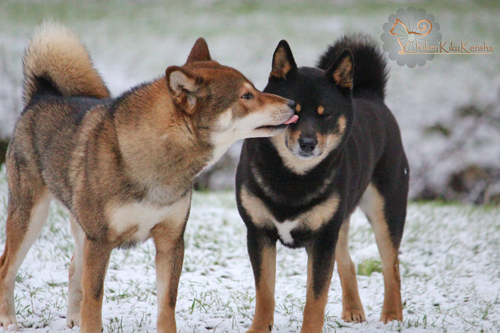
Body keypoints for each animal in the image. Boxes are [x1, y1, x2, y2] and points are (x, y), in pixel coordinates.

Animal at [0, 22, 296, 330]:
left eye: (255, 89)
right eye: (246, 96)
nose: (293, 103)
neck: (156, 162)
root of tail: (41, 96)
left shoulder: (170, 241)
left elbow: (167, 306)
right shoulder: (101, 241)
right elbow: (94, 303)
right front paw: (88, 324)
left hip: (79, 227)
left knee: (72, 268)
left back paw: (72, 318)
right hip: (31, 218)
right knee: (6, 267)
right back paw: (9, 320)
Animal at [236, 35, 408, 330]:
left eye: (324, 114)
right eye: (293, 112)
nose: (308, 143)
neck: (292, 178)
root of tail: (372, 96)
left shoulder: (322, 239)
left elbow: (315, 299)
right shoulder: (259, 233)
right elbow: (265, 292)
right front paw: (258, 329)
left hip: (386, 210)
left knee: (391, 266)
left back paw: (392, 316)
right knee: (348, 263)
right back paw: (353, 310)